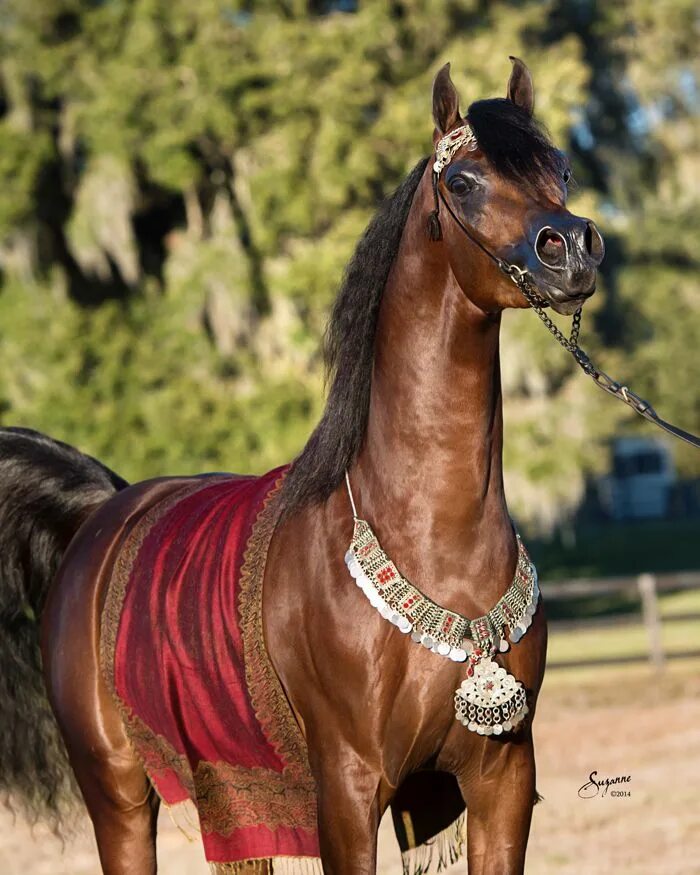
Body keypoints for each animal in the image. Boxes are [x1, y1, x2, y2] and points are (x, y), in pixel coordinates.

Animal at [0, 61, 600, 875]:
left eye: (559, 169)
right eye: (466, 180)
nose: (571, 248)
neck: (433, 541)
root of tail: (103, 512)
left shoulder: (502, 778)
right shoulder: (347, 787)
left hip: (231, 798)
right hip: (117, 791)